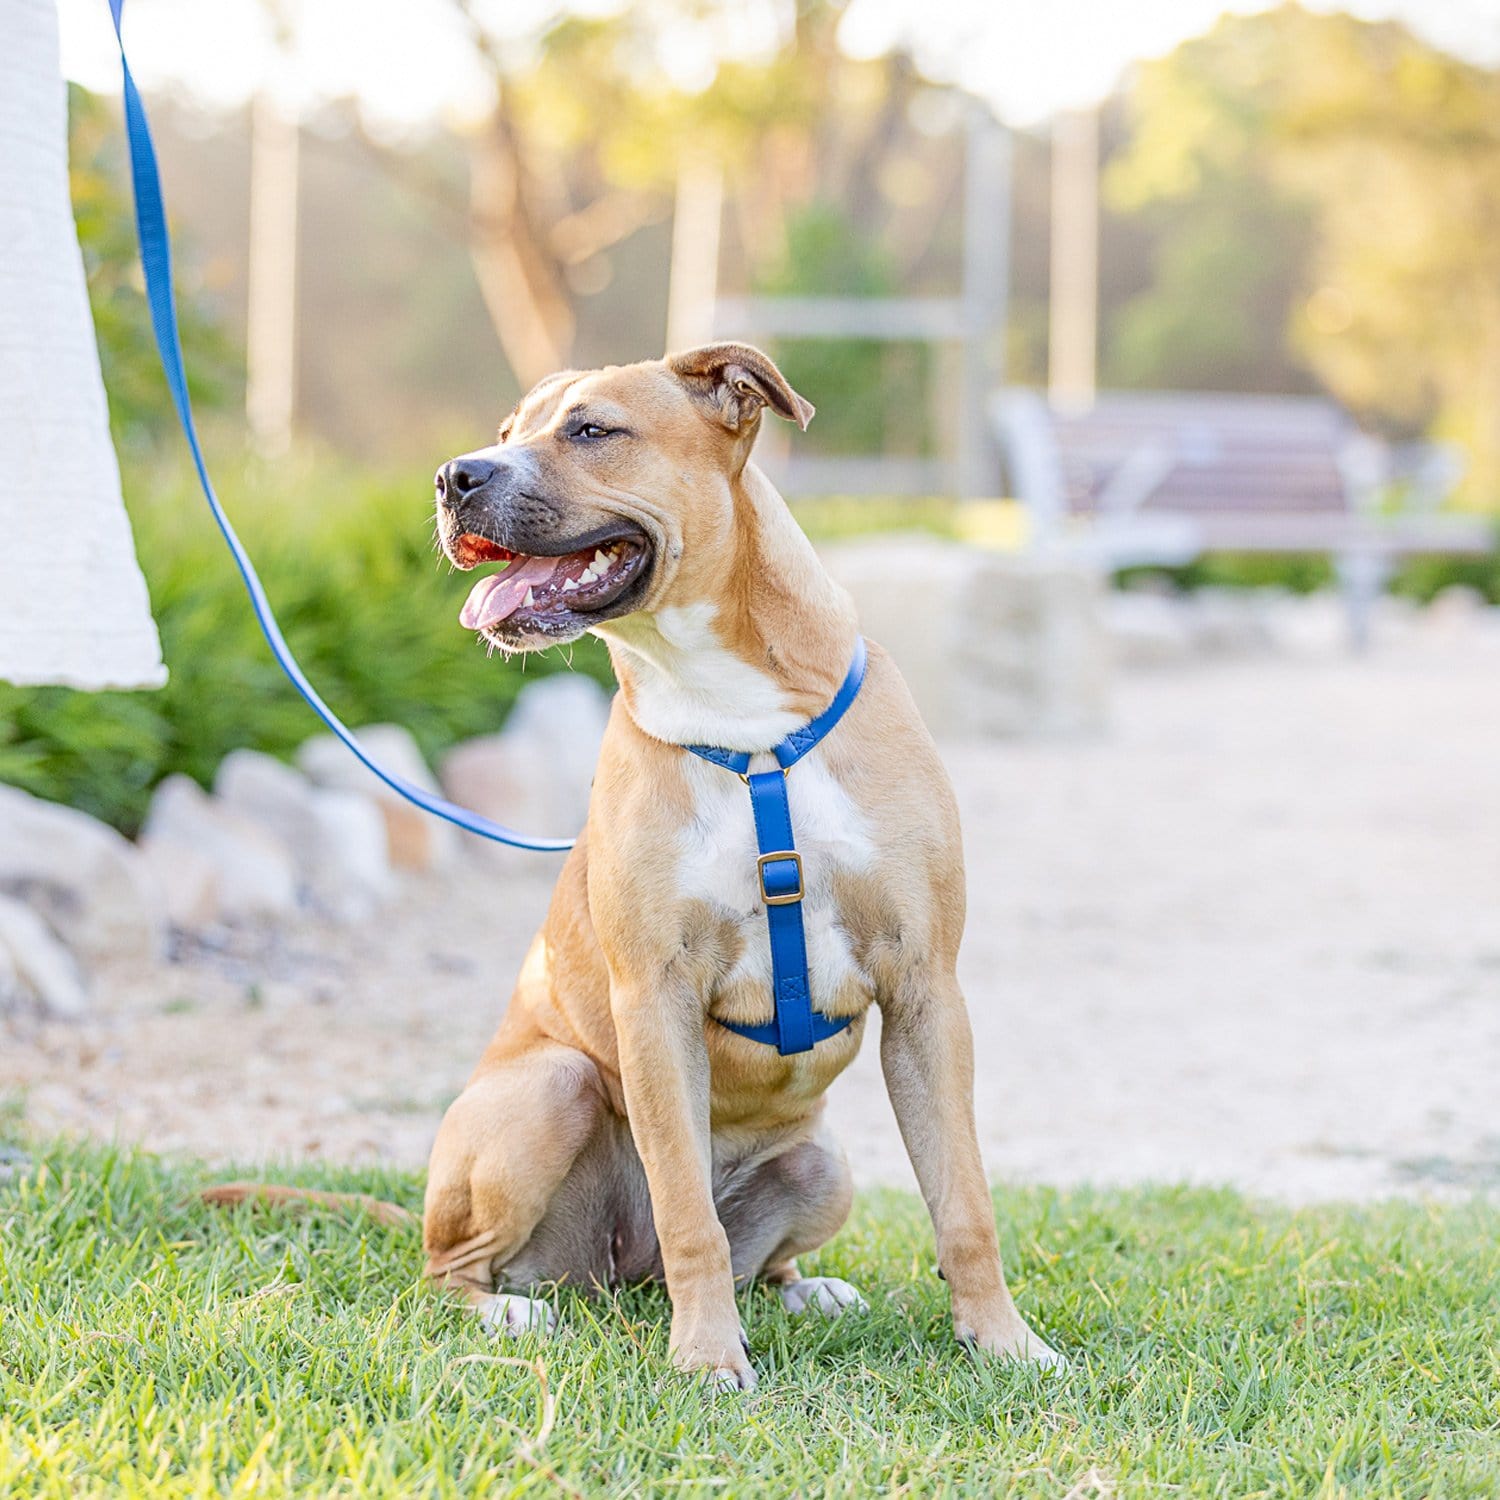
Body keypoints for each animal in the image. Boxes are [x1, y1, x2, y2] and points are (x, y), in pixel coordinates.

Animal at [396, 345, 1056, 1386]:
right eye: (505, 436)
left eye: (591, 430)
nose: (453, 477)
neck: (745, 729)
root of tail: (619, 1273)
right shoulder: (653, 996)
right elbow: (688, 1214)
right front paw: (707, 1358)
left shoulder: (926, 989)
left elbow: (965, 1203)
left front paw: (1002, 1341)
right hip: (550, 1089)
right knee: (458, 1267)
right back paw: (507, 1310)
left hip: (824, 1165)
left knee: (762, 1256)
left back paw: (805, 1289)